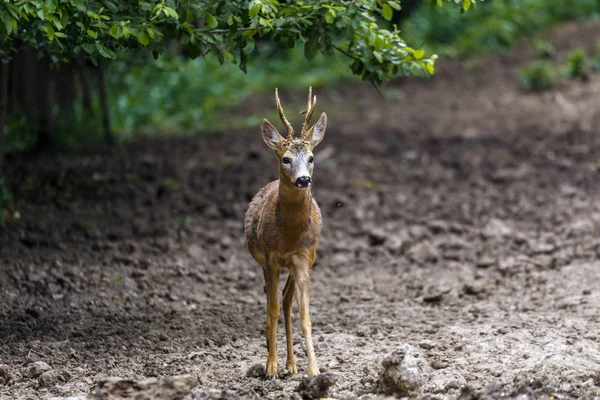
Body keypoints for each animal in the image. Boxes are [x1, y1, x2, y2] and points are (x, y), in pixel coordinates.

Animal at [245, 86, 328, 380]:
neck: (288, 235)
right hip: (265, 261)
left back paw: (292, 365)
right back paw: (275, 358)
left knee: (286, 300)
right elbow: (271, 310)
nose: (303, 179)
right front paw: (270, 368)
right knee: (272, 299)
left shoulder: (303, 259)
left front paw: (313, 370)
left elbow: (304, 316)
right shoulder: (270, 258)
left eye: (312, 158)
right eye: (286, 159)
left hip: (297, 263)